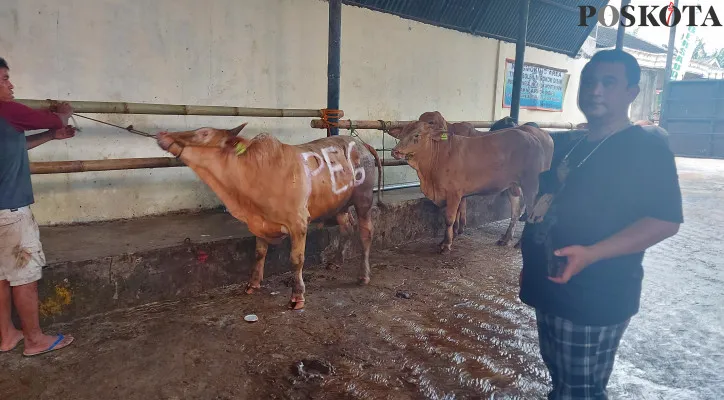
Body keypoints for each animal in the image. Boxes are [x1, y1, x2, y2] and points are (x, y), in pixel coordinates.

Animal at [157, 122, 384, 310]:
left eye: (204, 133)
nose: (162, 134)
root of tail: (361, 144)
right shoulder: (259, 223)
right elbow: (259, 253)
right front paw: (253, 283)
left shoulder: (298, 221)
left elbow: (296, 259)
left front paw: (297, 296)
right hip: (340, 205)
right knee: (347, 228)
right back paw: (336, 261)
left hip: (364, 199)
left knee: (366, 233)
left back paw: (363, 276)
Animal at [390, 117, 556, 252]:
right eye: (401, 134)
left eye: (416, 135)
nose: (395, 151)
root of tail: (535, 136)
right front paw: (445, 240)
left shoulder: (454, 193)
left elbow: (449, 218)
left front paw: (446, 244)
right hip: (513, 186)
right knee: (515, 211)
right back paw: (505, 239)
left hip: (532, 185)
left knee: (532, 212)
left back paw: (521, 243)